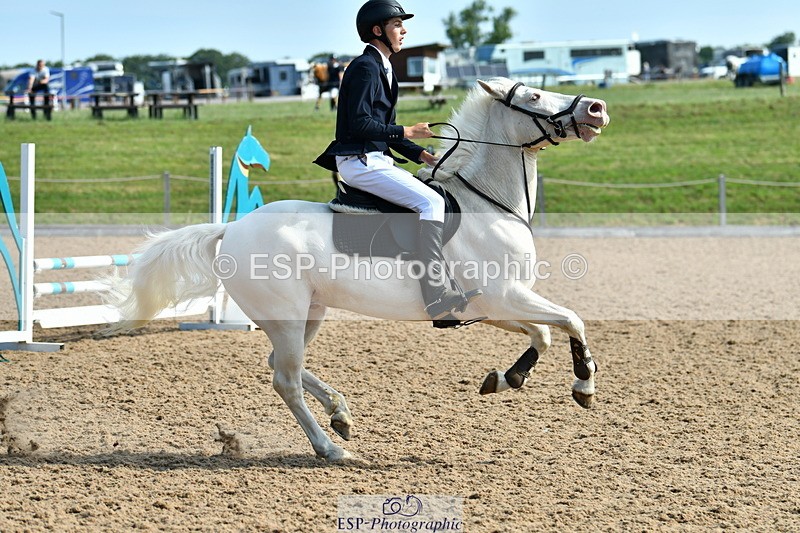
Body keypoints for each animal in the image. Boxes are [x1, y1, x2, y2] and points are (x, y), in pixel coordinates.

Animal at [105, 77, 610, 462]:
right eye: (535, 97)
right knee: (285, 379)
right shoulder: (505, 295)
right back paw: (330, 448)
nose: (596, 108)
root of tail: (231, 230)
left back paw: (340, 414)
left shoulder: (494, 305)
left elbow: (543, 333)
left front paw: (507, 379)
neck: (487, 203)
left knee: (281, 365)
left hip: (308, 314)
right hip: (288, 317)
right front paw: (583, 385)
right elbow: (572, 320)